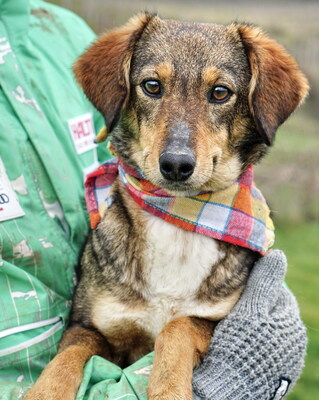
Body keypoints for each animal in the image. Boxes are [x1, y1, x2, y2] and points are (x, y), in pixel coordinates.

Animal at [26, 13, 308, 400]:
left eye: (220, 93)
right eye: (151, 86)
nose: (176, 164)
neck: (180, 219)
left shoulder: (218, 319)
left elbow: (178, 326)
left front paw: (168, 387)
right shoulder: (90, 326)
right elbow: (64, 359)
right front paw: (44, 392)